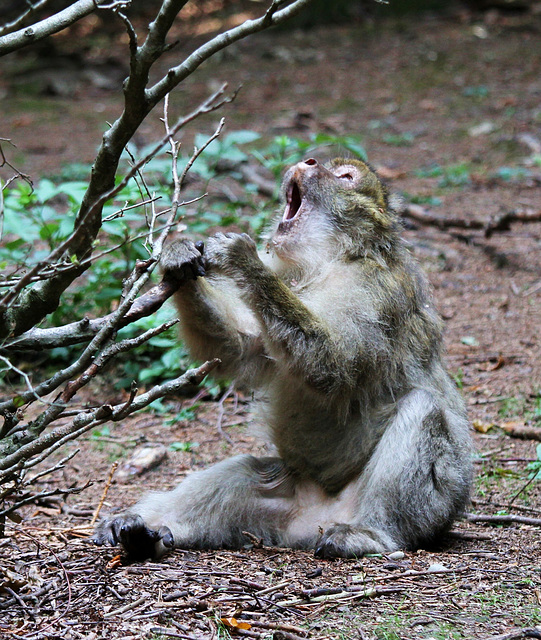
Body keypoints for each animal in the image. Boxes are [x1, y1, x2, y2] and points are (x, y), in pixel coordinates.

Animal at [93, 156, 472, 560]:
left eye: (345, 177)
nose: (309, 161)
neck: (334, 259)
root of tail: (314, 519)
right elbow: (243, 347)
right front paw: (178, 257)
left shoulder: (375, 291)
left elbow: (332, 368)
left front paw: (244, 261)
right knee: (246, 474)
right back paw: (143, 531)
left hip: (433, 505)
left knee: (423, 409)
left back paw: (371, 532)